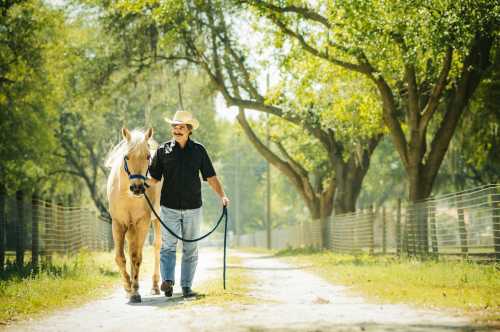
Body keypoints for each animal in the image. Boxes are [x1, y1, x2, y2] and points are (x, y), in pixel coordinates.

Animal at [106, 127, 163, 304]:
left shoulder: (142, 223)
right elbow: (120, 257)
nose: (137, 188)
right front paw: (127, 288)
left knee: (157, 246)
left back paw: (155, 286)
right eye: (126, 156)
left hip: (156, 220)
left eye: (148, 156)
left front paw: (135, 292)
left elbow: (136, 257)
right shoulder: (118, 223)